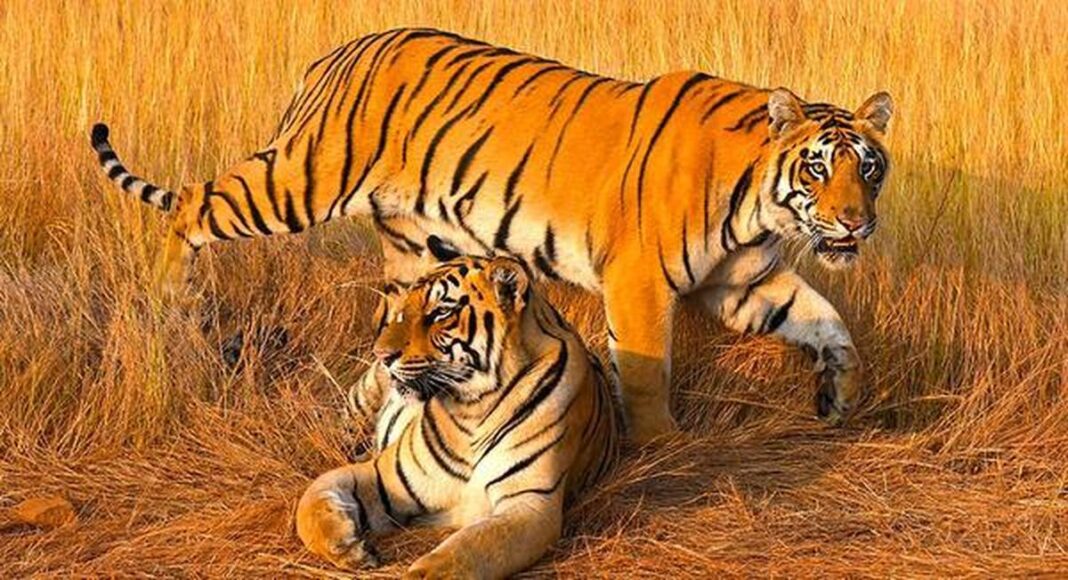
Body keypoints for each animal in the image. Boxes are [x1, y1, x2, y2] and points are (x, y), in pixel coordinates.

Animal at [89, 27, 893, 442]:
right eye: (818, 169)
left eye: (868, 168)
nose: (856, 222)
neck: (758, 206)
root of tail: (339, 50)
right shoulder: (640, 281)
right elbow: (646, 370)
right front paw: (665, 449)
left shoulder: (743, 282)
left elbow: (832, 325)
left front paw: (839, 397)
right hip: (300, 182)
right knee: (193, 205)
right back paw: (174, 303)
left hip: (416, 250)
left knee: (387, 347)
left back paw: (352, 413)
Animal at [296, 252, 620, 578]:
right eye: (403, 312)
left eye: (440, 313)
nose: (381, 355)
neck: (473, 409)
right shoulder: (384, 476)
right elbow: (309, 501)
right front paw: (349, 547)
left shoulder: (532, 502)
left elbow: (469, 549)